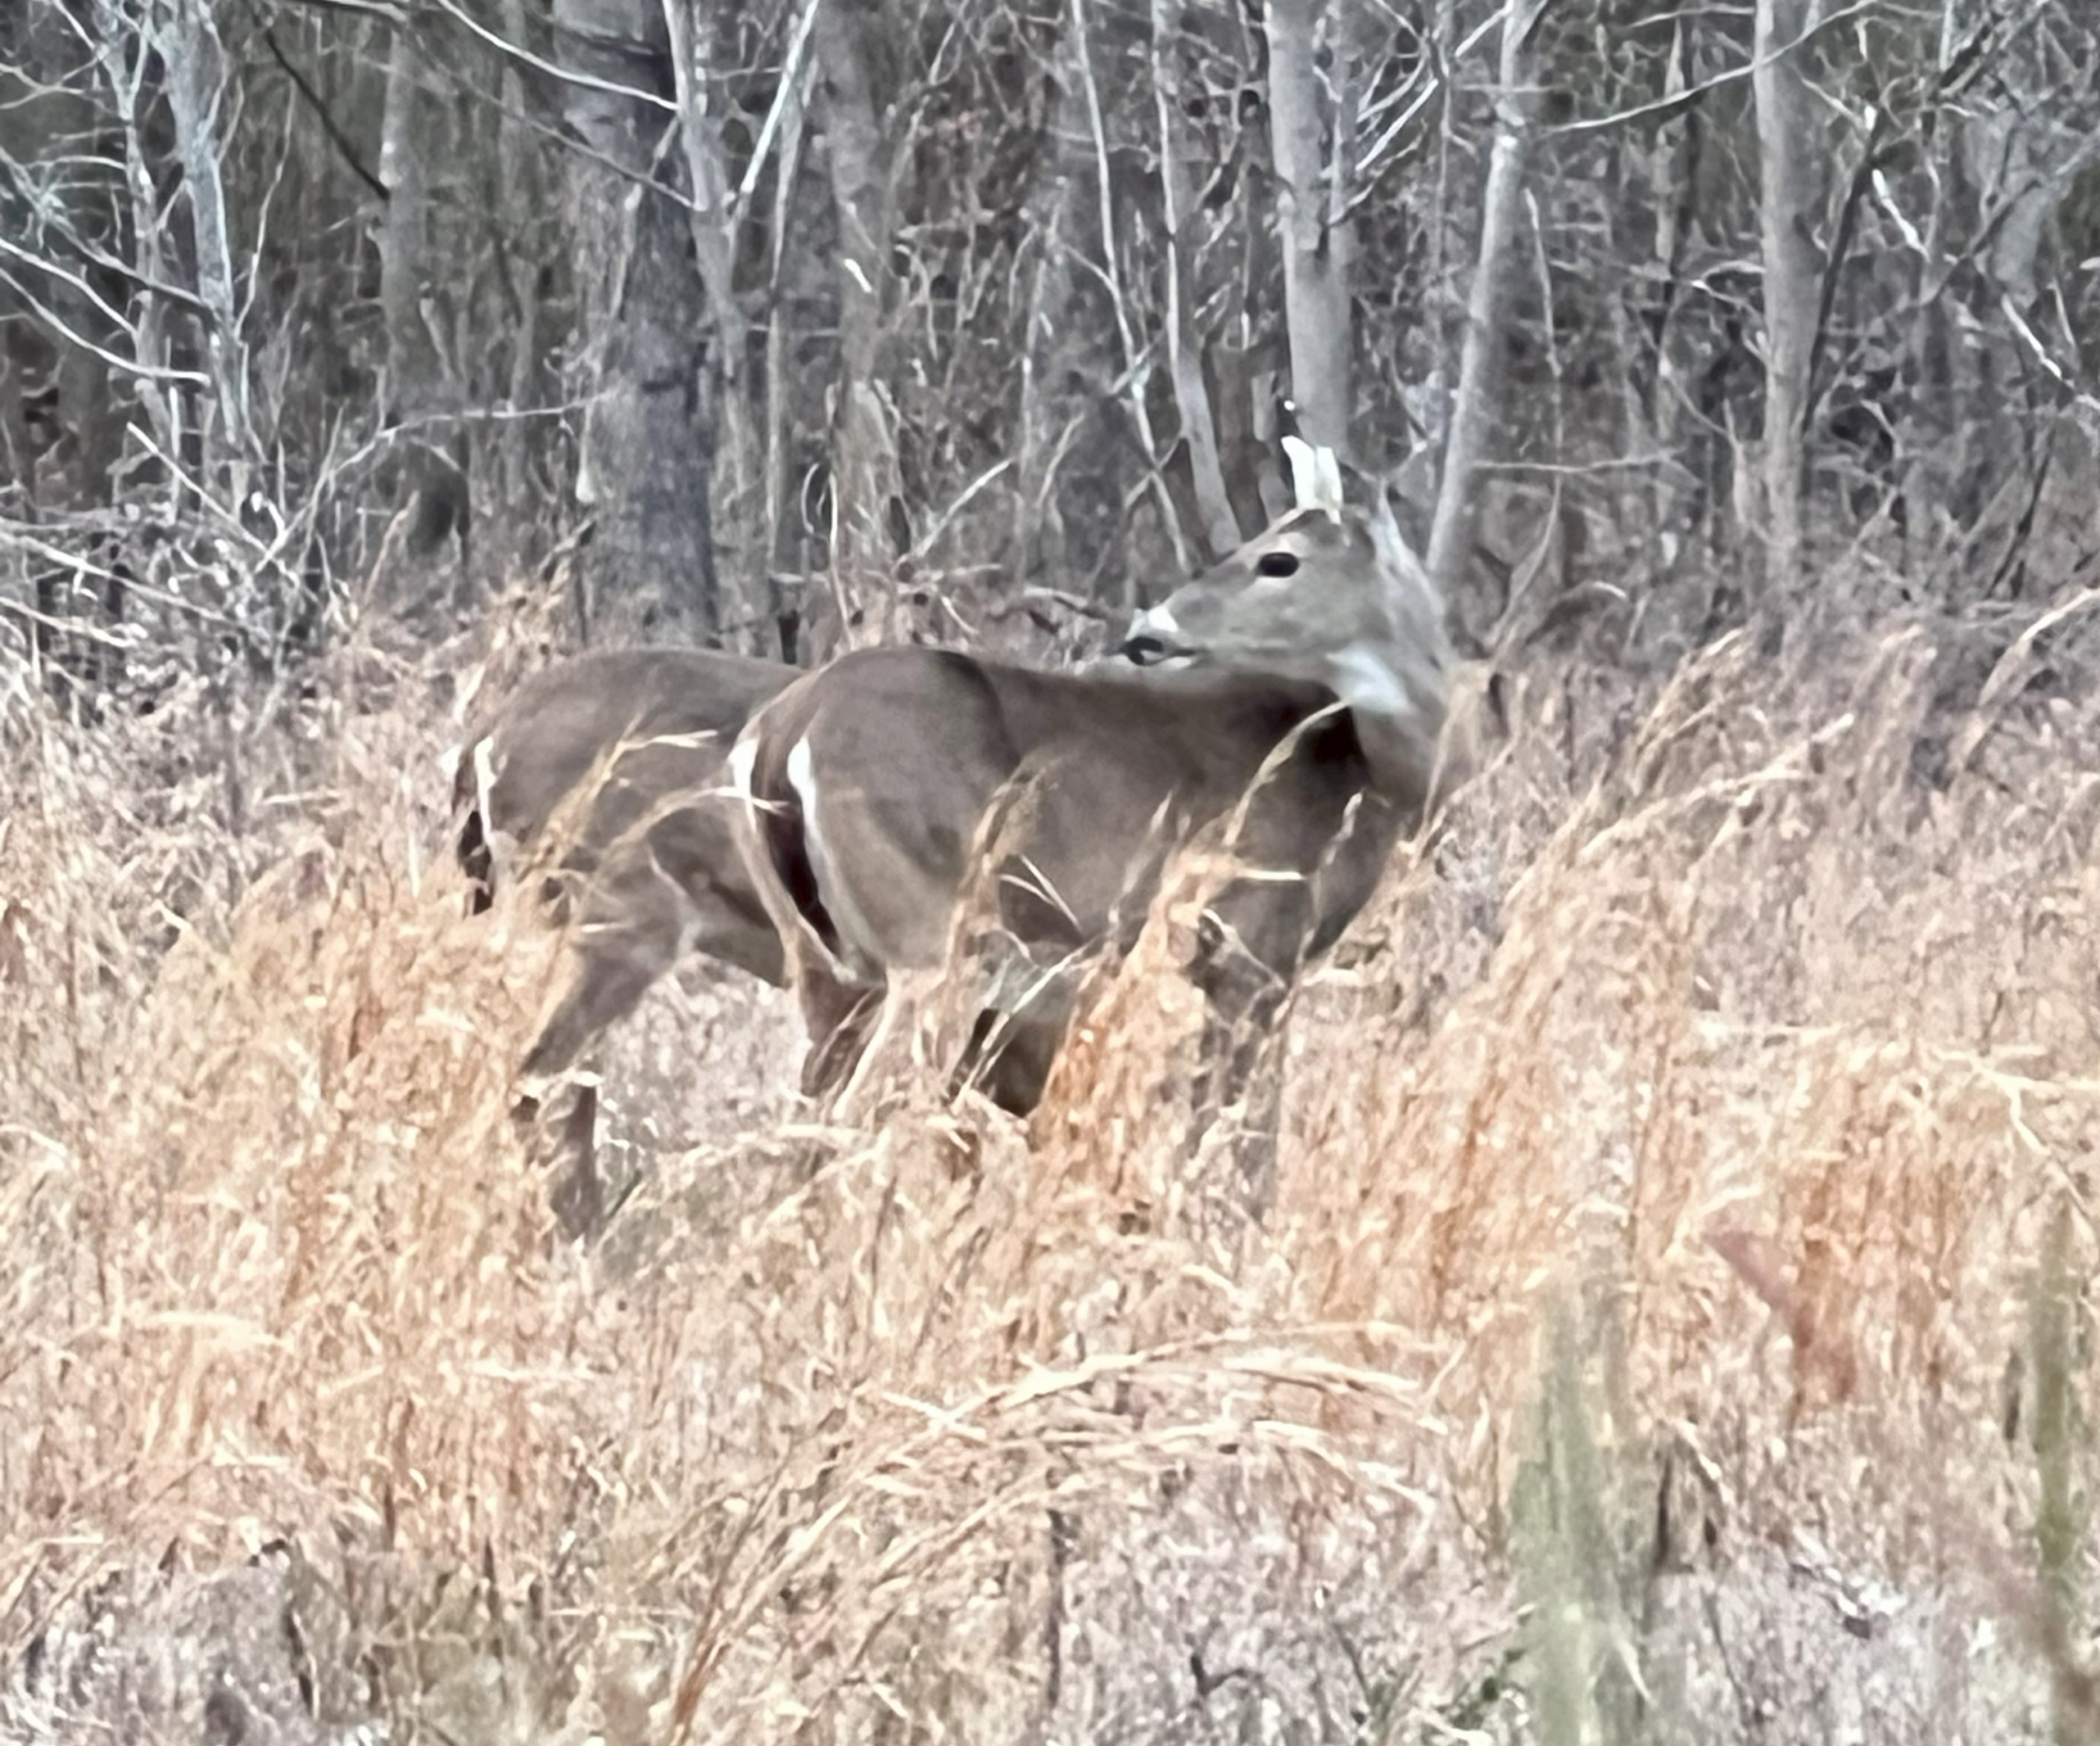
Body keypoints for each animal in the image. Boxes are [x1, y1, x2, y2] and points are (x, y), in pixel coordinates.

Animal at [729, 440, 1456, 1153]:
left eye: (1279, 558)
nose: (1148, 631)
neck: (1367, 773)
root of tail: (782, 730)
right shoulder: (1255, 951)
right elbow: (1242, 1140)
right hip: (935, 947)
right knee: (856, 1115)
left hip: (829, 968)